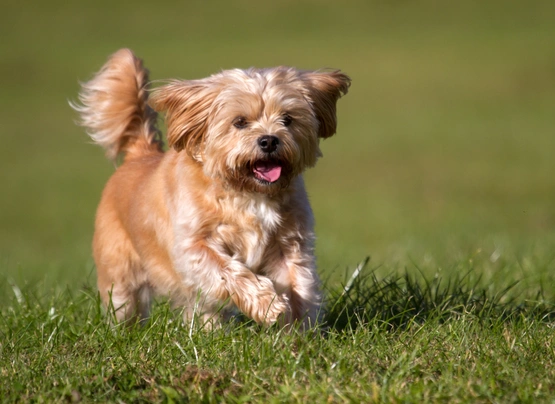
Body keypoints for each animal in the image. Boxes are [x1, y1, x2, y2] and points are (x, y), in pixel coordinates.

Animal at [73, 49, 352, 330]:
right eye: (239, 122)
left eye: (287, 119)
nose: (269, 140)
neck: (248, 192)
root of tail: (140, 154)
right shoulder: (193, 247)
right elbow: (228, 271)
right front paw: (268, 304)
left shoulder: (291, 244)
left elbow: (299, 284)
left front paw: (300, 332)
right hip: (119, 272)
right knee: (124, 303)